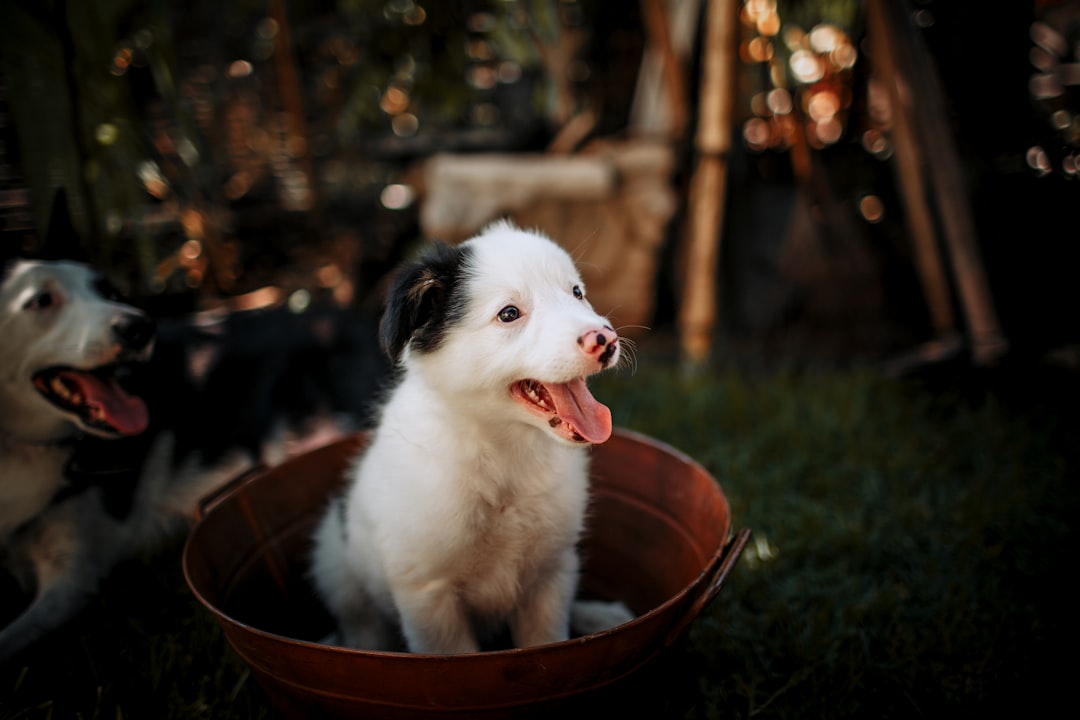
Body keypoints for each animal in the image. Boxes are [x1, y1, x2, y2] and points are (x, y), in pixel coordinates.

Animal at [308, 220, 630, 651]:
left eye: (576, 292)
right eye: (509, 313)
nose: (605, 339)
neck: (501, 449)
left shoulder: (552, 573)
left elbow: (546, 639)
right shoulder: (429, 595)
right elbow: (454, 652)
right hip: (336, 563)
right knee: (362, 626)